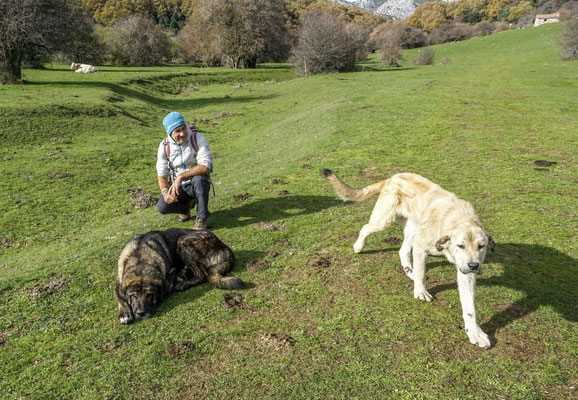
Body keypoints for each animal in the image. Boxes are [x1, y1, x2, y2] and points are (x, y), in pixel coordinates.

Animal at [115, 227, 243, 324]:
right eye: (133, 296)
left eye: (150, 295)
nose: (141, 313)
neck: (140, 258)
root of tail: (224, 246)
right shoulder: (119, 283)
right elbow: (120, 298)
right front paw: (124, 313)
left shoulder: (170, 274)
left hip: (182, 241)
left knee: (201, 275)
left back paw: (183, 283)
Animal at [322, 169, 492, 350]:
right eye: (460, 245)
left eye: (482, 246)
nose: (474, 266)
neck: (457, 219)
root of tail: (393, 177)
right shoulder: (421, 247)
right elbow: (422, 273)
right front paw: (420, 291)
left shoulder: (465, 271)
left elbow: (470, 307)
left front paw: (475, 333)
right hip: (383, 221)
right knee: (366, 228)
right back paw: (358, 246)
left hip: (413, 229)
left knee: (402, 251)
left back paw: (409, 270)